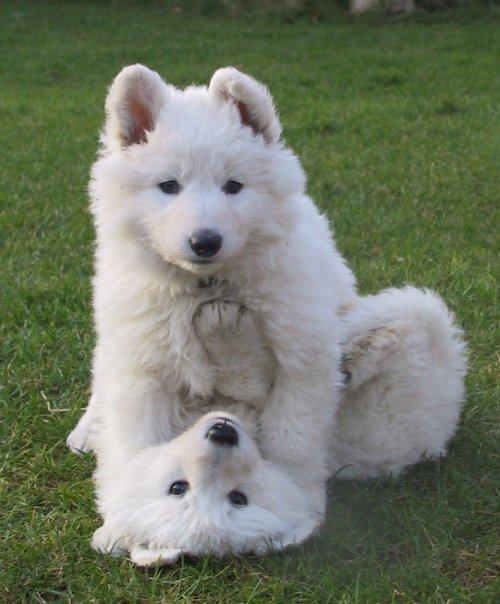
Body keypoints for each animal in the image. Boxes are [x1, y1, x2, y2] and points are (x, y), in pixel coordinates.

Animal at [92, 286, 466, 564]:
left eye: (176, 488)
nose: (222, 433)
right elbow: (244, 379)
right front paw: (225, 327)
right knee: (411, 319)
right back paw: (355, 356)